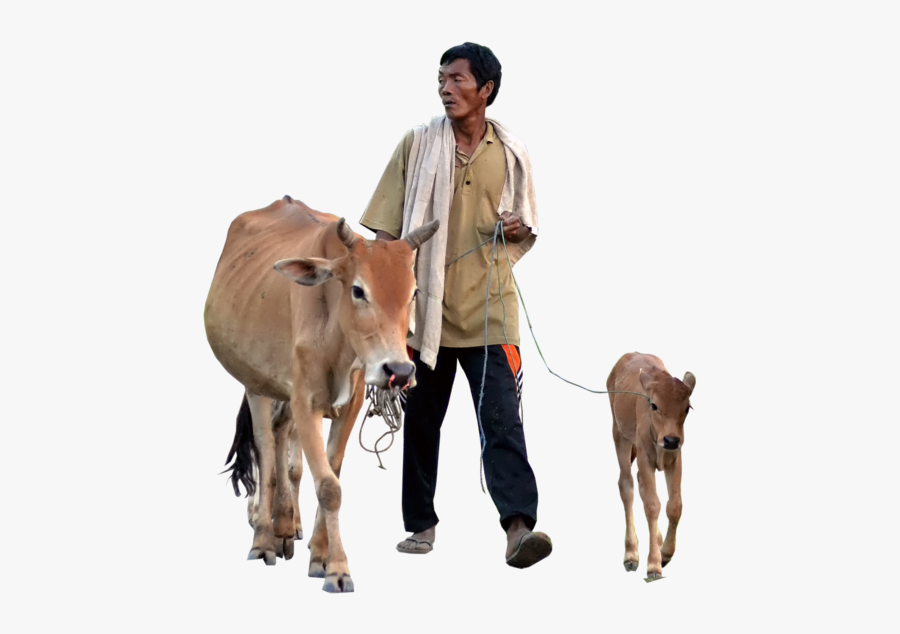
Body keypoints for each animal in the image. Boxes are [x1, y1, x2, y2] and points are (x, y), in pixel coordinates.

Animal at [205, 196, 439, 593]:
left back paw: (286, 525)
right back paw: (263, 537)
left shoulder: (349, 406)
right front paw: (338, 570)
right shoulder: (305, 402)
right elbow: (327, 485)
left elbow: (330, 474)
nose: (400, 371)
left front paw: (319, 556)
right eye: (358, 290)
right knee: (266, 453)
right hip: (255, 385)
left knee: (283, 446)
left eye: (414, 293)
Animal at [607, 352, 696, 580]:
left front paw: (665, 553)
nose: (671, 439)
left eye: (687, 408)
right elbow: (652, 505)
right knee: (626, 485)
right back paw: (631, 553)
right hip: (619, 434)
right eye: (654, 405)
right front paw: (654, 564)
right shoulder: (645, 457)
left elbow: (674, 505)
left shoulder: (675, 458)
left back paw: (656, 538)